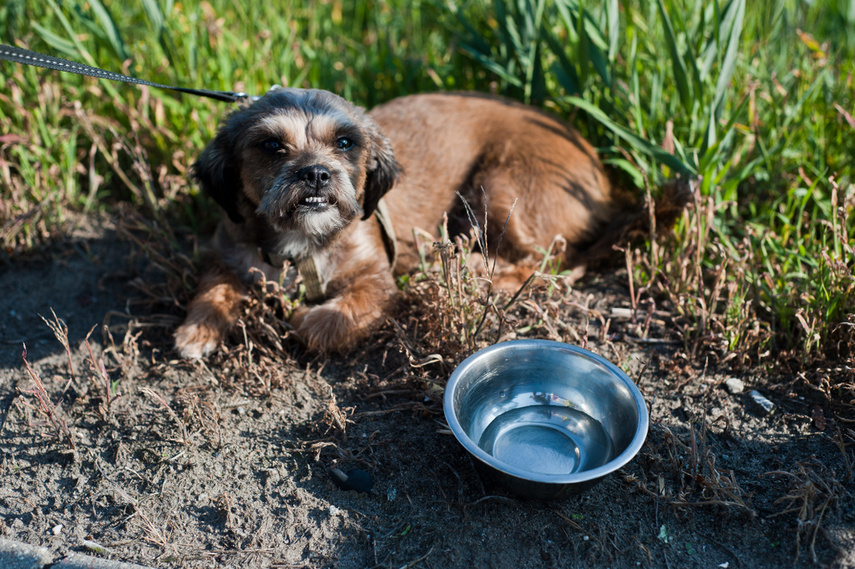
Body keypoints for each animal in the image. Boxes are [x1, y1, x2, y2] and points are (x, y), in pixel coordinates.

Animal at [176, 87, 640, 356]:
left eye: (345, 143)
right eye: (271, 145)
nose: (317, 173)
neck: (299, 241)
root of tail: (602, 173)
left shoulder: (376, 283)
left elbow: (329, 322)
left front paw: (302, 319)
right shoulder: (226, 253)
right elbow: (213, 289)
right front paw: (196, 331)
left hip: (500, 188)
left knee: (544, 263)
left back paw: (470, 269)